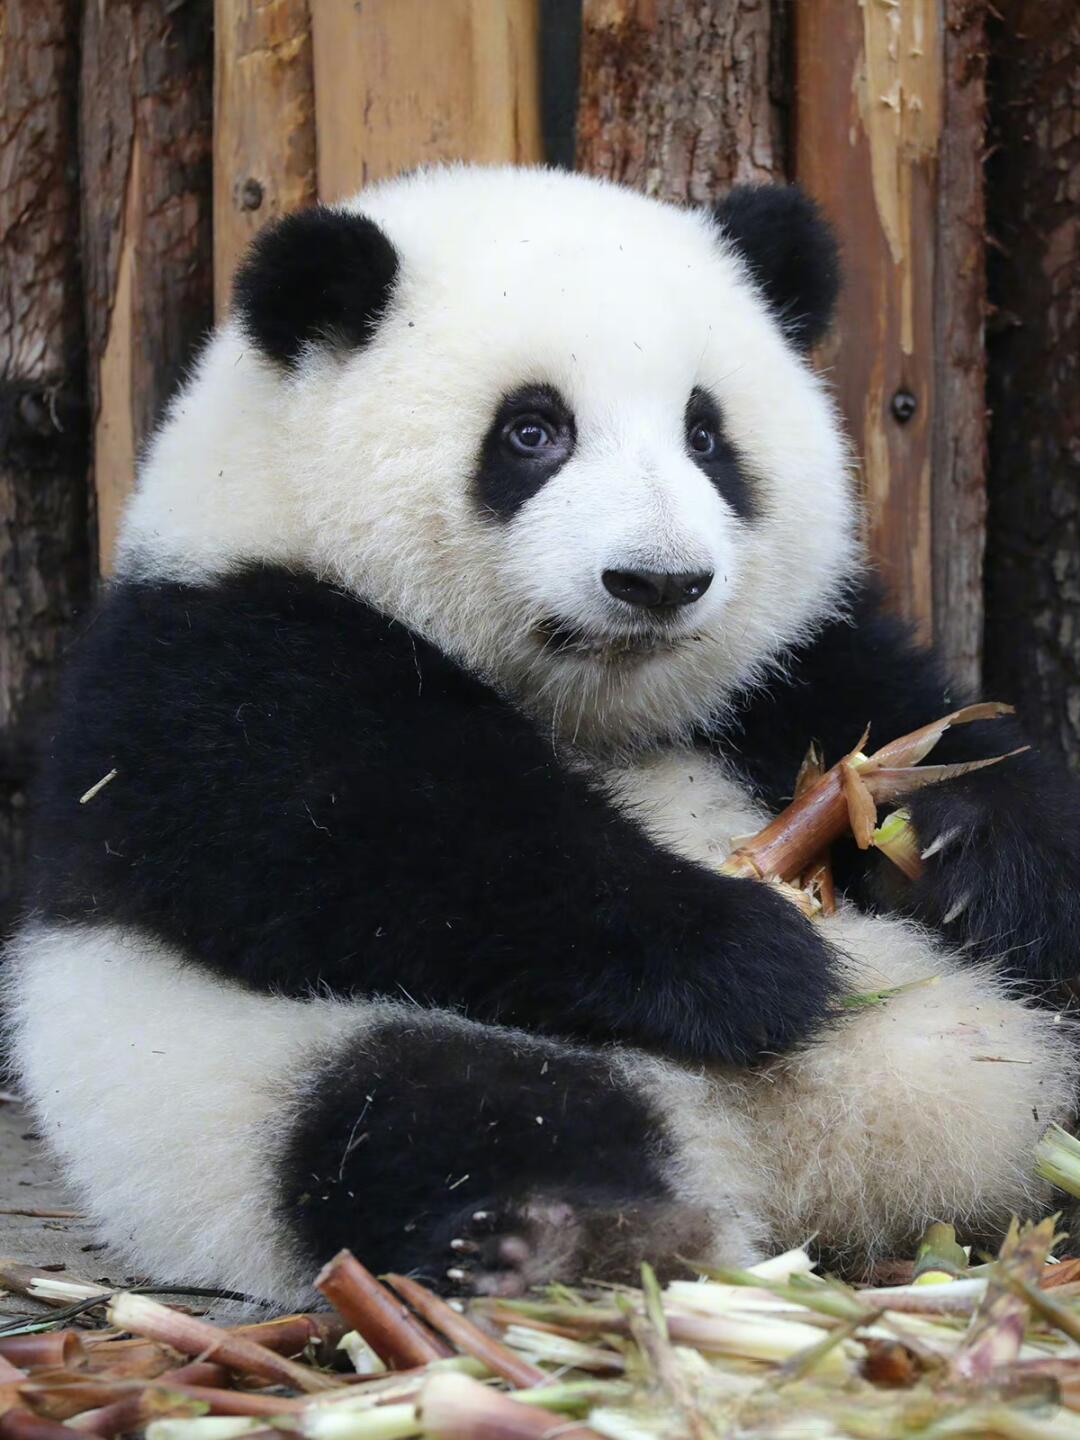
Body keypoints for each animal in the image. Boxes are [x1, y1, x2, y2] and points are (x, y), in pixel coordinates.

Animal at [6, 165, 1080, 1306]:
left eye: (707, 435)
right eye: (531, 433)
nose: (658, 581)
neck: (591, 702)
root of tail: (813, 1185)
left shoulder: (793, 657)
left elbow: (907, 715)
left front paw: (973, 853)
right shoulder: (208, 656)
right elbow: (367, 846)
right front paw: (754, 959)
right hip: (254, 1070)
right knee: (424, 1112)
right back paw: (575, 1233)